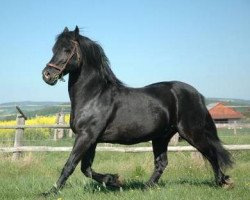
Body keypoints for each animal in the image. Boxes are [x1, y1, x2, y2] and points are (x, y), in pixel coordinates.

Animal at [42, 26, 232, 195]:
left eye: (67, 49)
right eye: (54, 49)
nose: (47, 75)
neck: (94, 95)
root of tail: (196, 94)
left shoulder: (86, 136)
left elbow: (70, 165)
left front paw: (50, 192)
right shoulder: (91, 139)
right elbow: (86, 169)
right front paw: (115, 180)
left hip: (192, 133)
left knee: (211, 154)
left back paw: (222, 182)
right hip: (161, 137)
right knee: (162, 163)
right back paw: (146, 187)